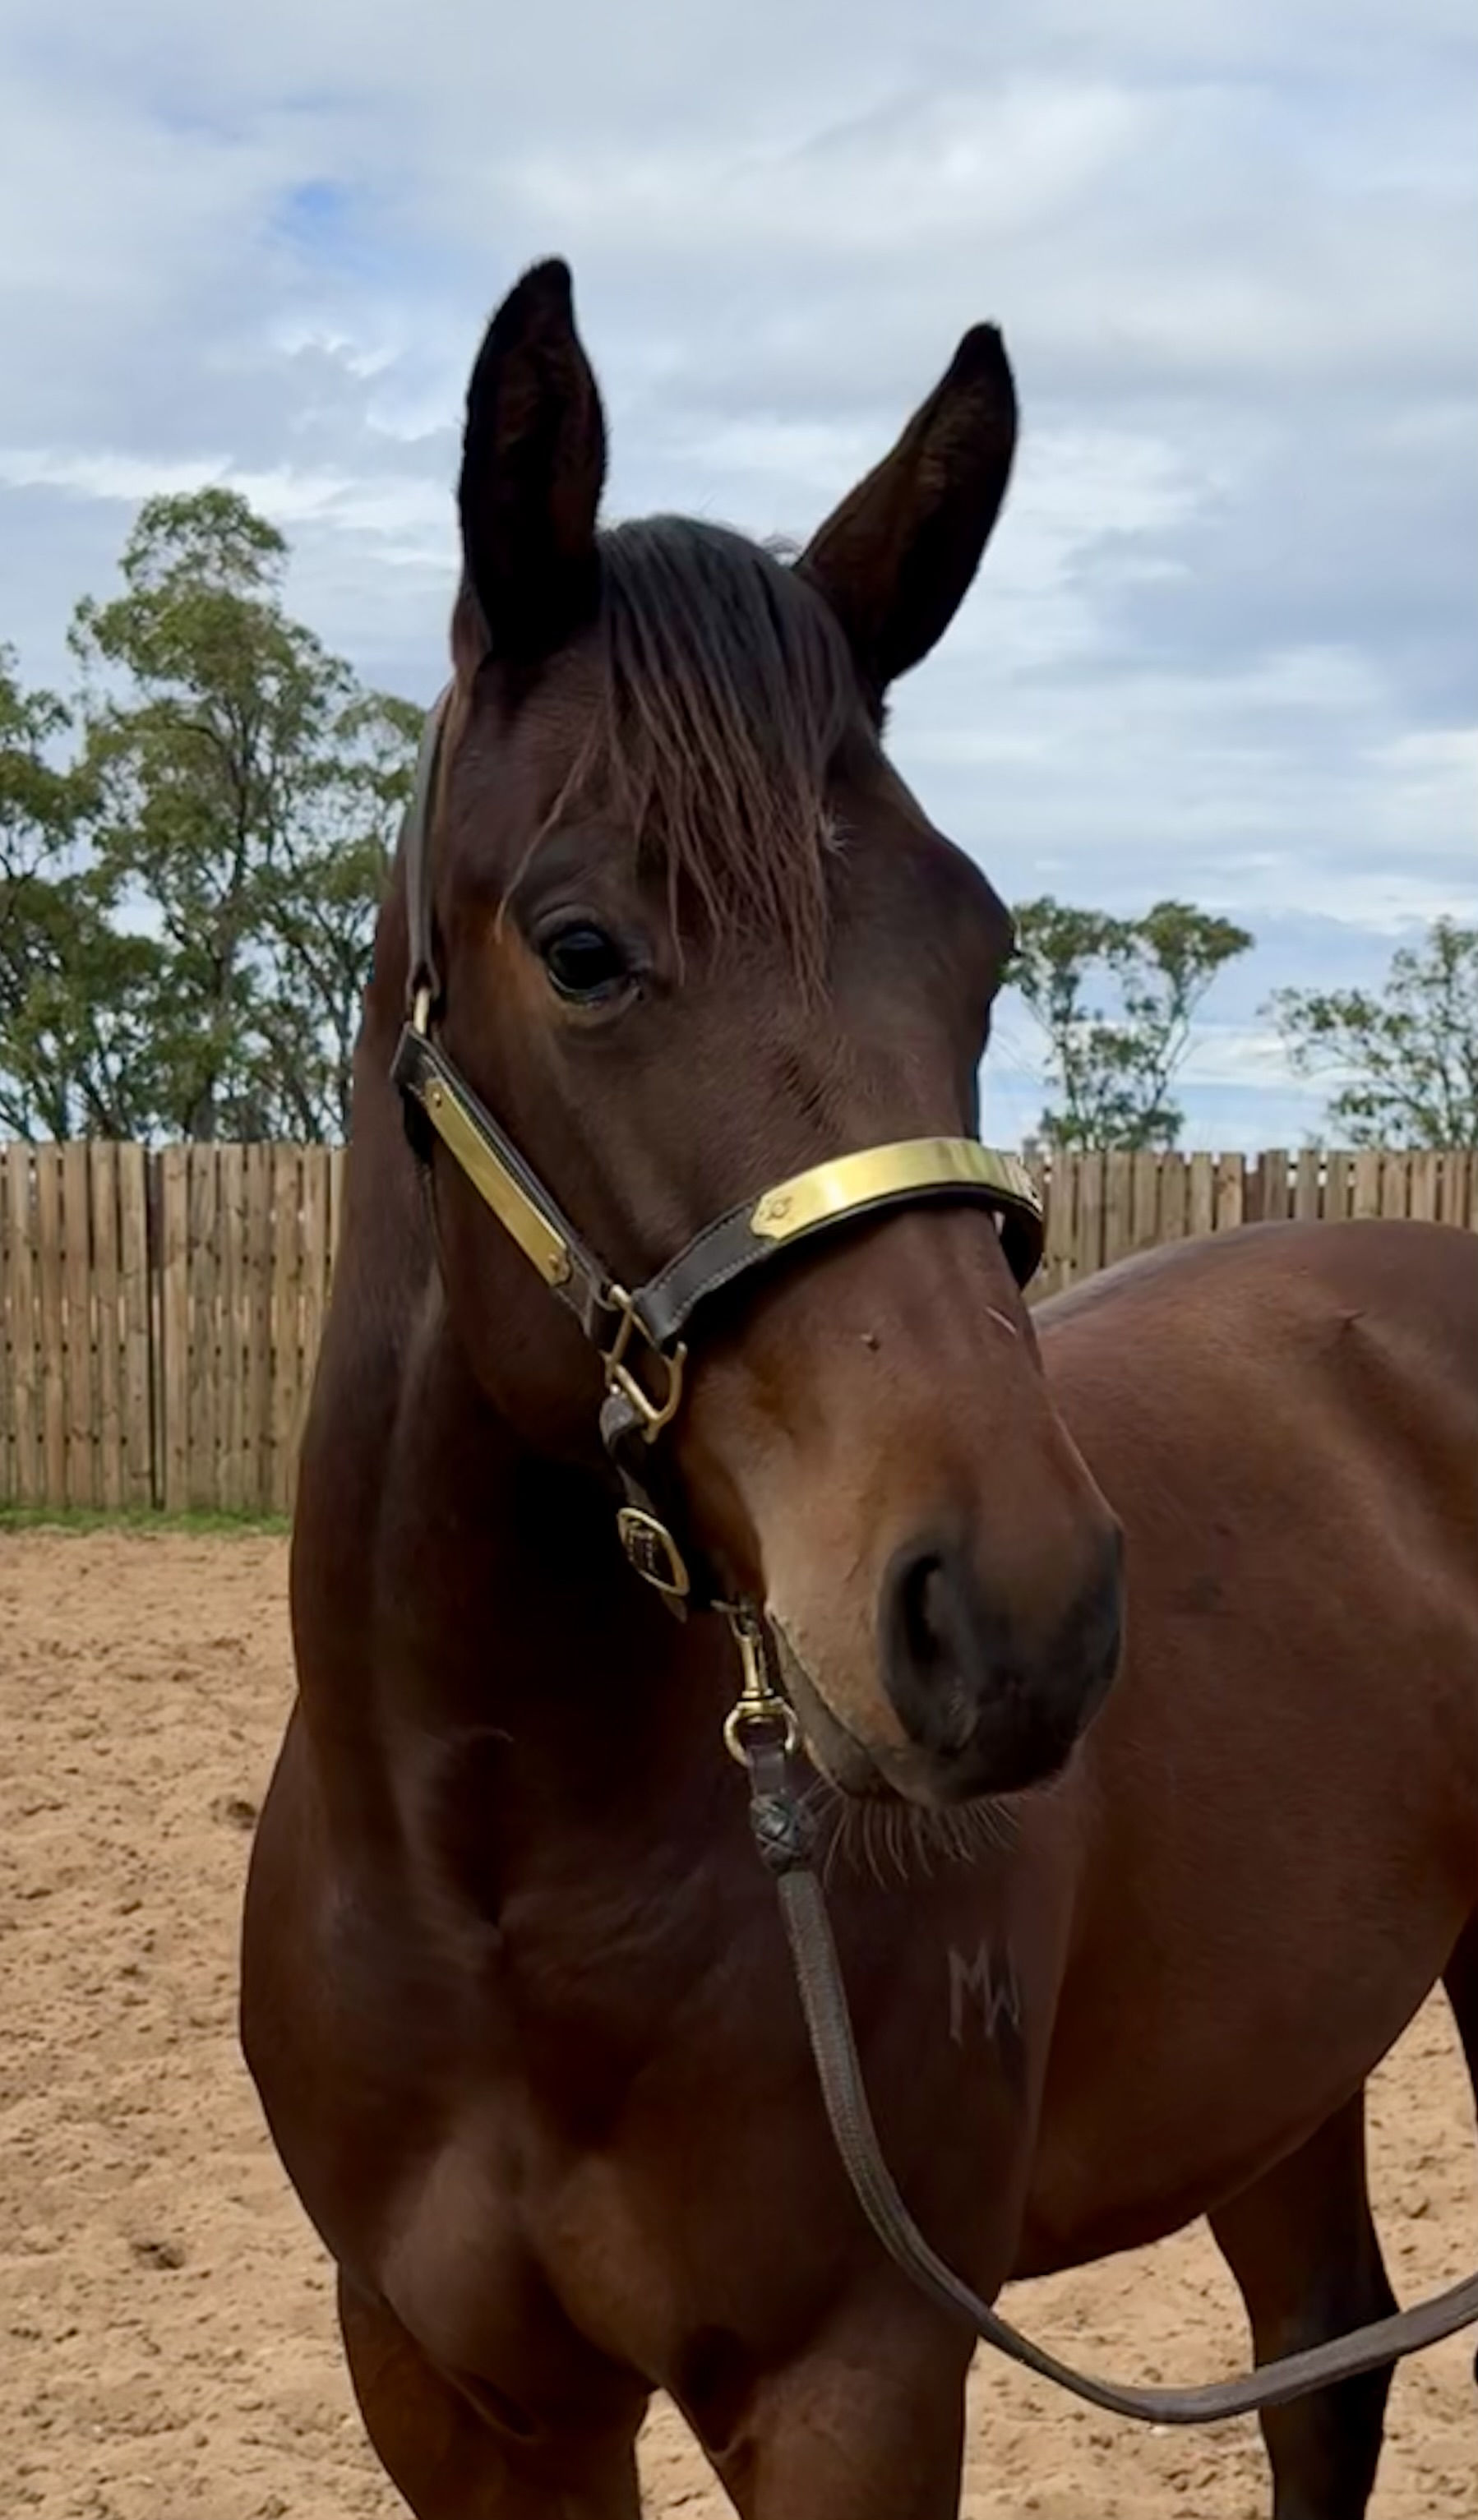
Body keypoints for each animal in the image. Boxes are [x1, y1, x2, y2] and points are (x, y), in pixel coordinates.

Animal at [241, 258, 1478, 2519]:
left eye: (979, 944)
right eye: (578, 945)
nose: (1011, 1614)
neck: (494, 1901)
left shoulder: (857, 2382)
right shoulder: (455, 2399)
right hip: (1276, 2060)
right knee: (1320, 2357)